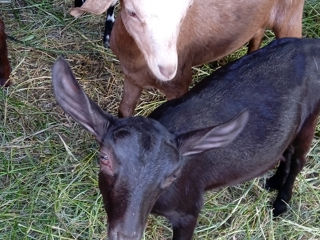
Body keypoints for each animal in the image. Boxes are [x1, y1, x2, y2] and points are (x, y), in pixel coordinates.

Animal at [70, 0, 304, 116]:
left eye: (183, 15)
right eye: (132, 12)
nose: (167, 68)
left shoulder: (179, 84)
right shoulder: (132, 77)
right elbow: (124, 111)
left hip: (290, 15)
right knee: (256, 33)